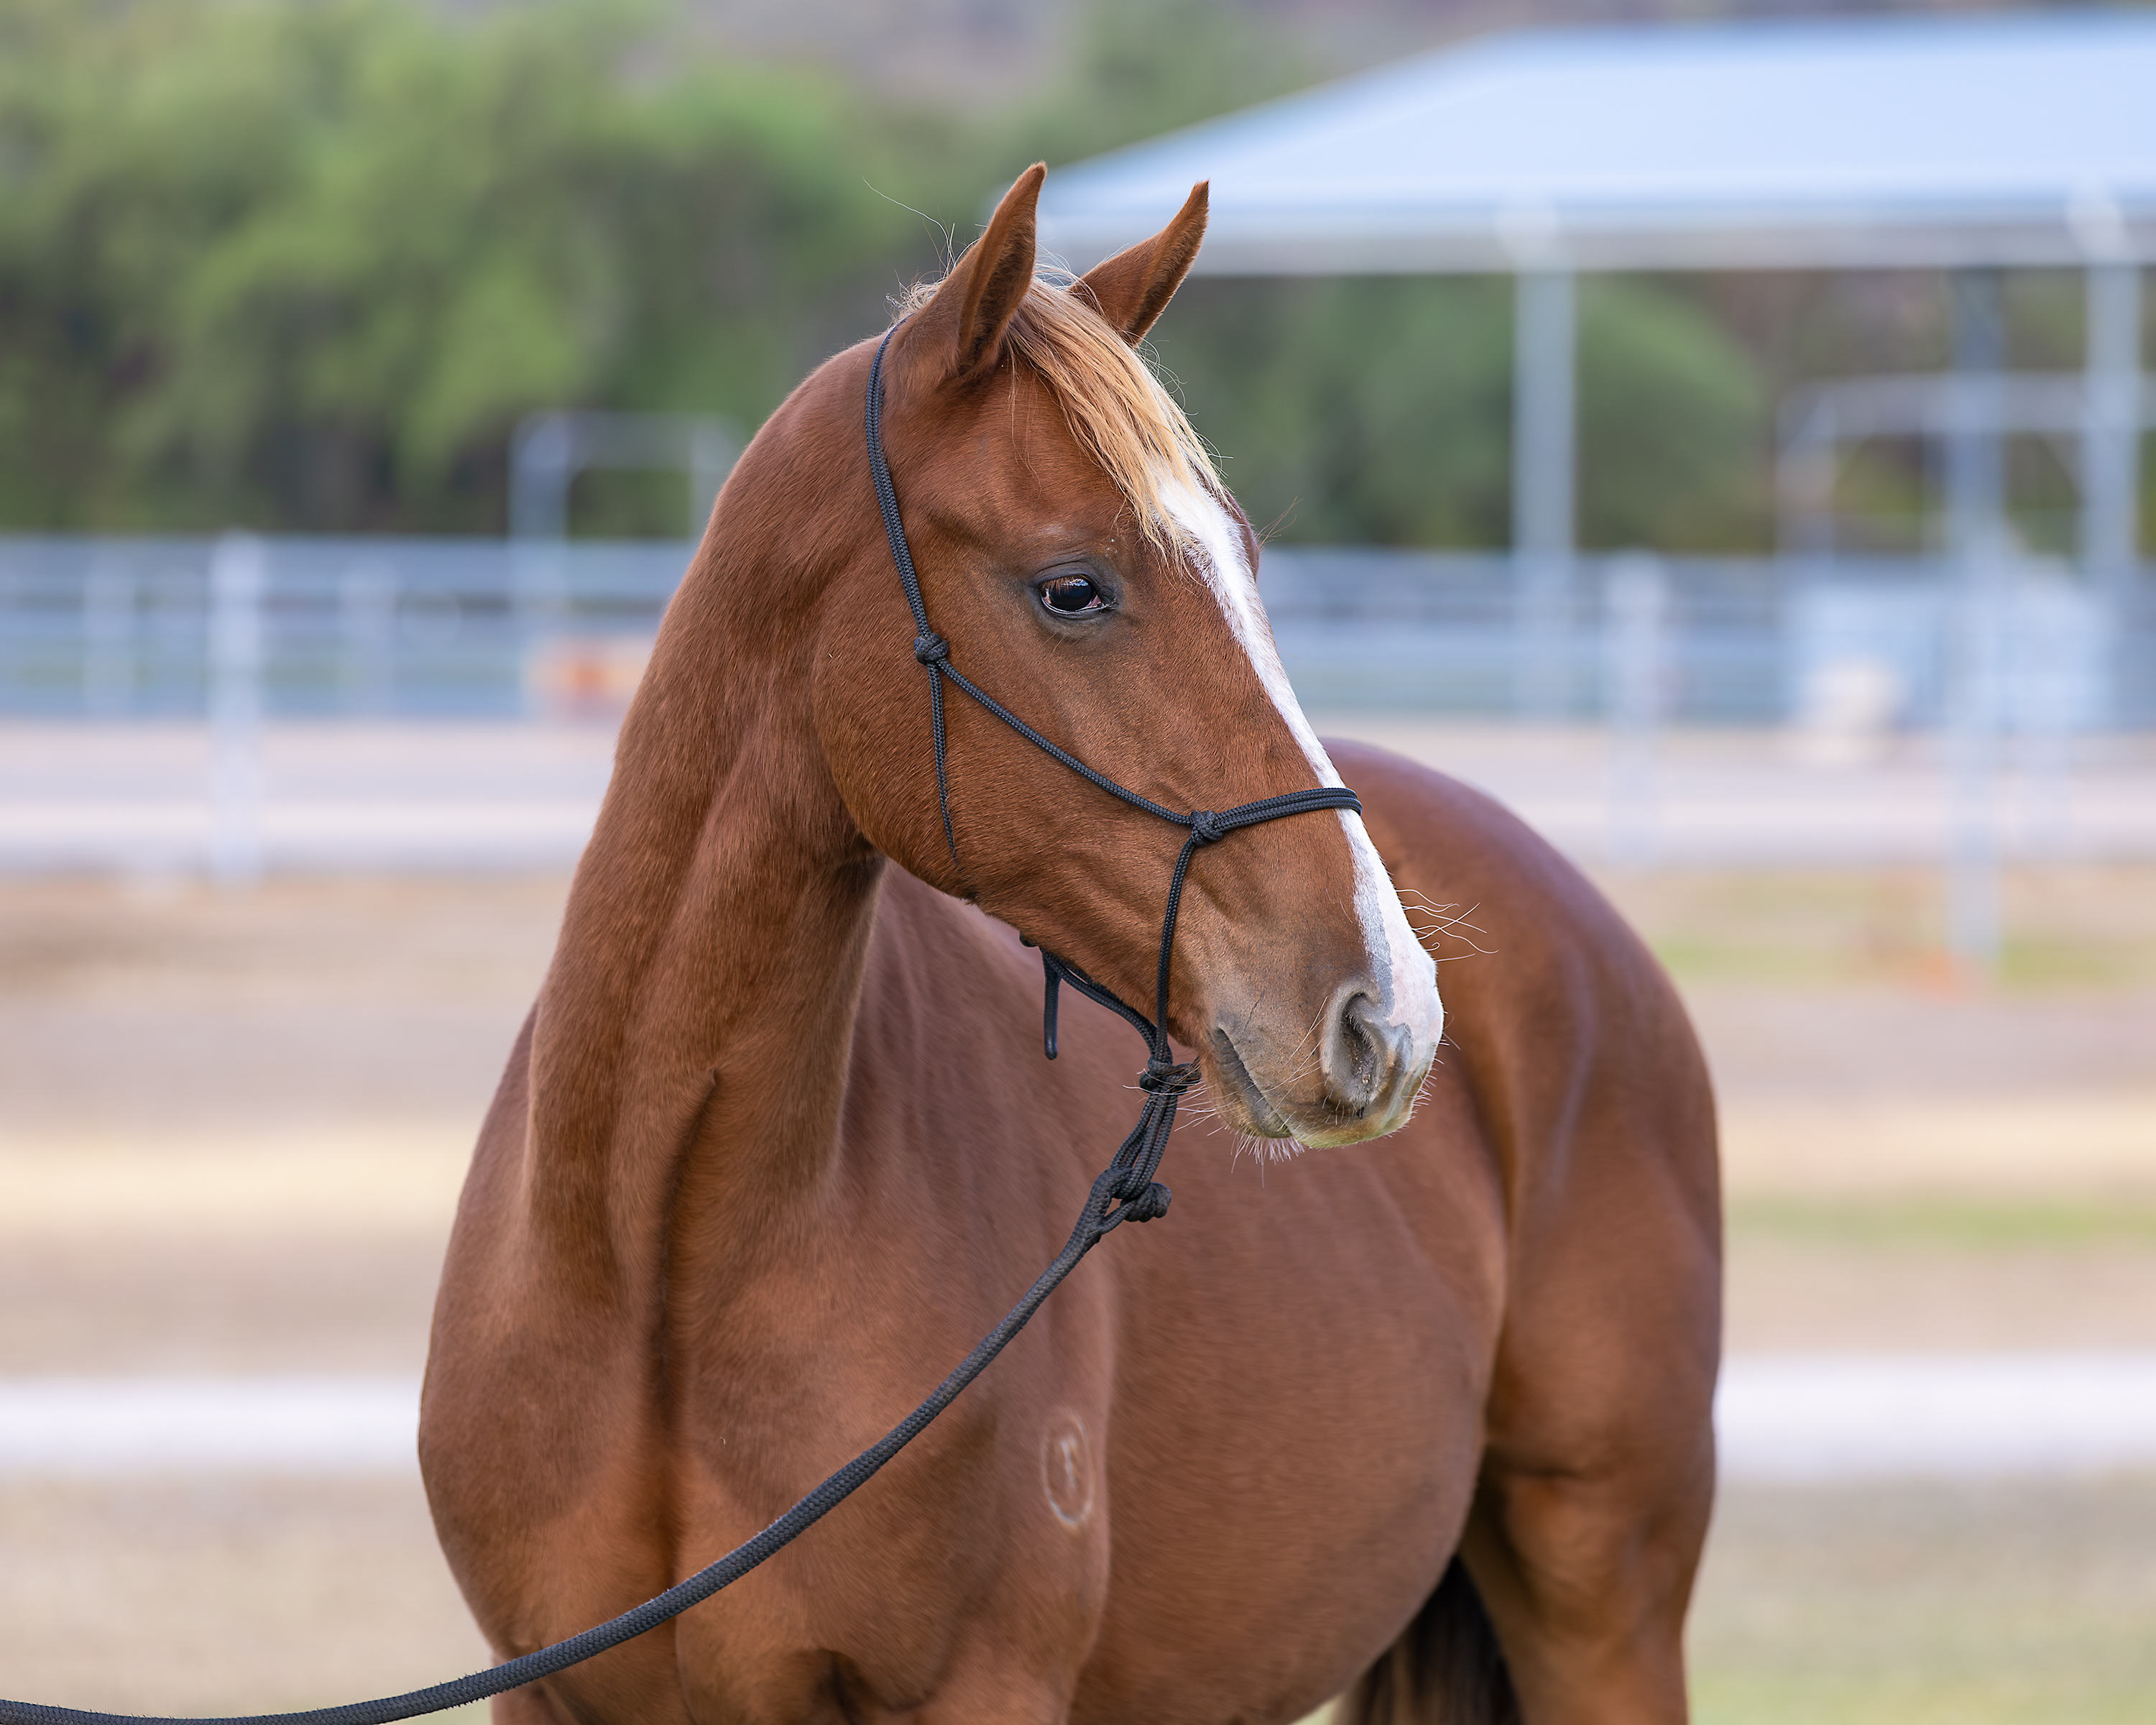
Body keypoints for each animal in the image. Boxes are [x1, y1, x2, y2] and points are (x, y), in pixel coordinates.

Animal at [418, 164, 1721, 1725]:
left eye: (1249, 563)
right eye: (1074, 589)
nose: (1386, 1013)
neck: (659, 1275)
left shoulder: (981, 1687)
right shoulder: (542, 1689)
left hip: (1606, 1607)